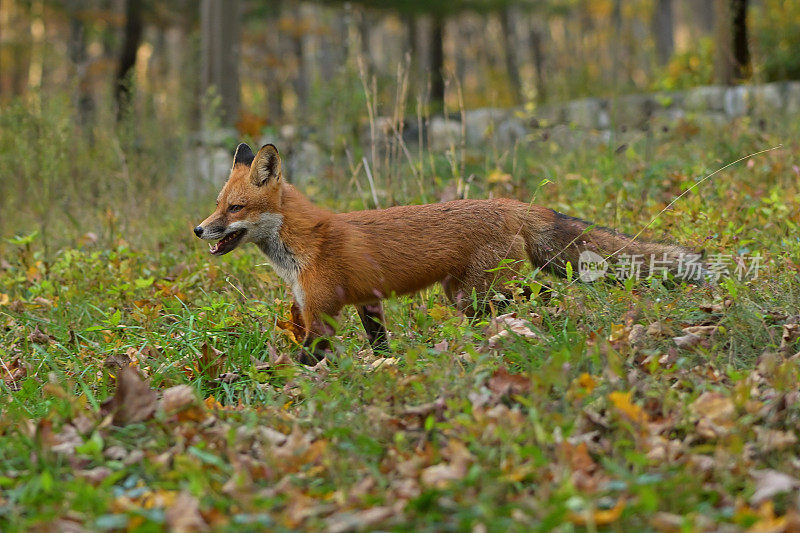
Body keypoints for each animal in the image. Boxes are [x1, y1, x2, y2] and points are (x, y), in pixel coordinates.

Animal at [195, 143, 692, 364]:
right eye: (218, 203)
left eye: (235, 208)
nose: (199, 229)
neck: (302, 245)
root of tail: (512, 203)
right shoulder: (367, 303)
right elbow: (380, 344)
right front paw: (386, 367)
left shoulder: (321, 314)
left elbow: (303, 361)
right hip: (467, 297)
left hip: (478, 294)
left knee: (544, 296)